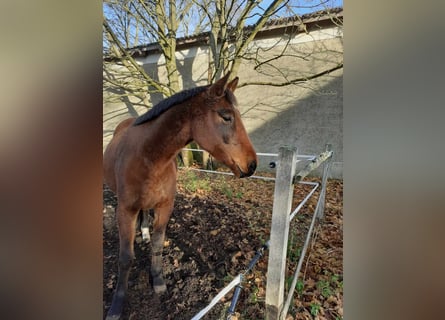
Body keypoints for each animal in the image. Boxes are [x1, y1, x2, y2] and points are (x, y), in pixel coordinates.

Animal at [103, 74, 256, 318]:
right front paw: (117, 305)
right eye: (226, 116)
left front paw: (158, 281)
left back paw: (143, 232)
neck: (149, 158)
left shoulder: (165, 206)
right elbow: (125, 257)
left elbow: (158, 244)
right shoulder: (125, 210)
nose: (252, 165)